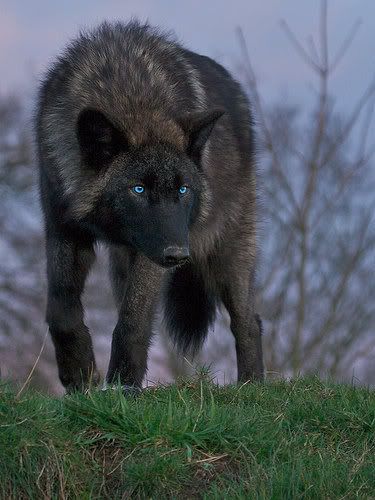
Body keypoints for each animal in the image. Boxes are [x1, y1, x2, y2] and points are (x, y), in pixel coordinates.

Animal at [36, 21, 264, 392]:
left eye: (182, 189)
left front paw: (122, 384)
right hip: (123, 263)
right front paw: (79, 374)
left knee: (249, 321)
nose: (179, 254)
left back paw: (252, 387)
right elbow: (61, 307)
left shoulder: (153, 252)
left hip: (227, 254)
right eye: (138, 189)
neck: (128, 95)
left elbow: (134, 318)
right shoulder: (62, 226)